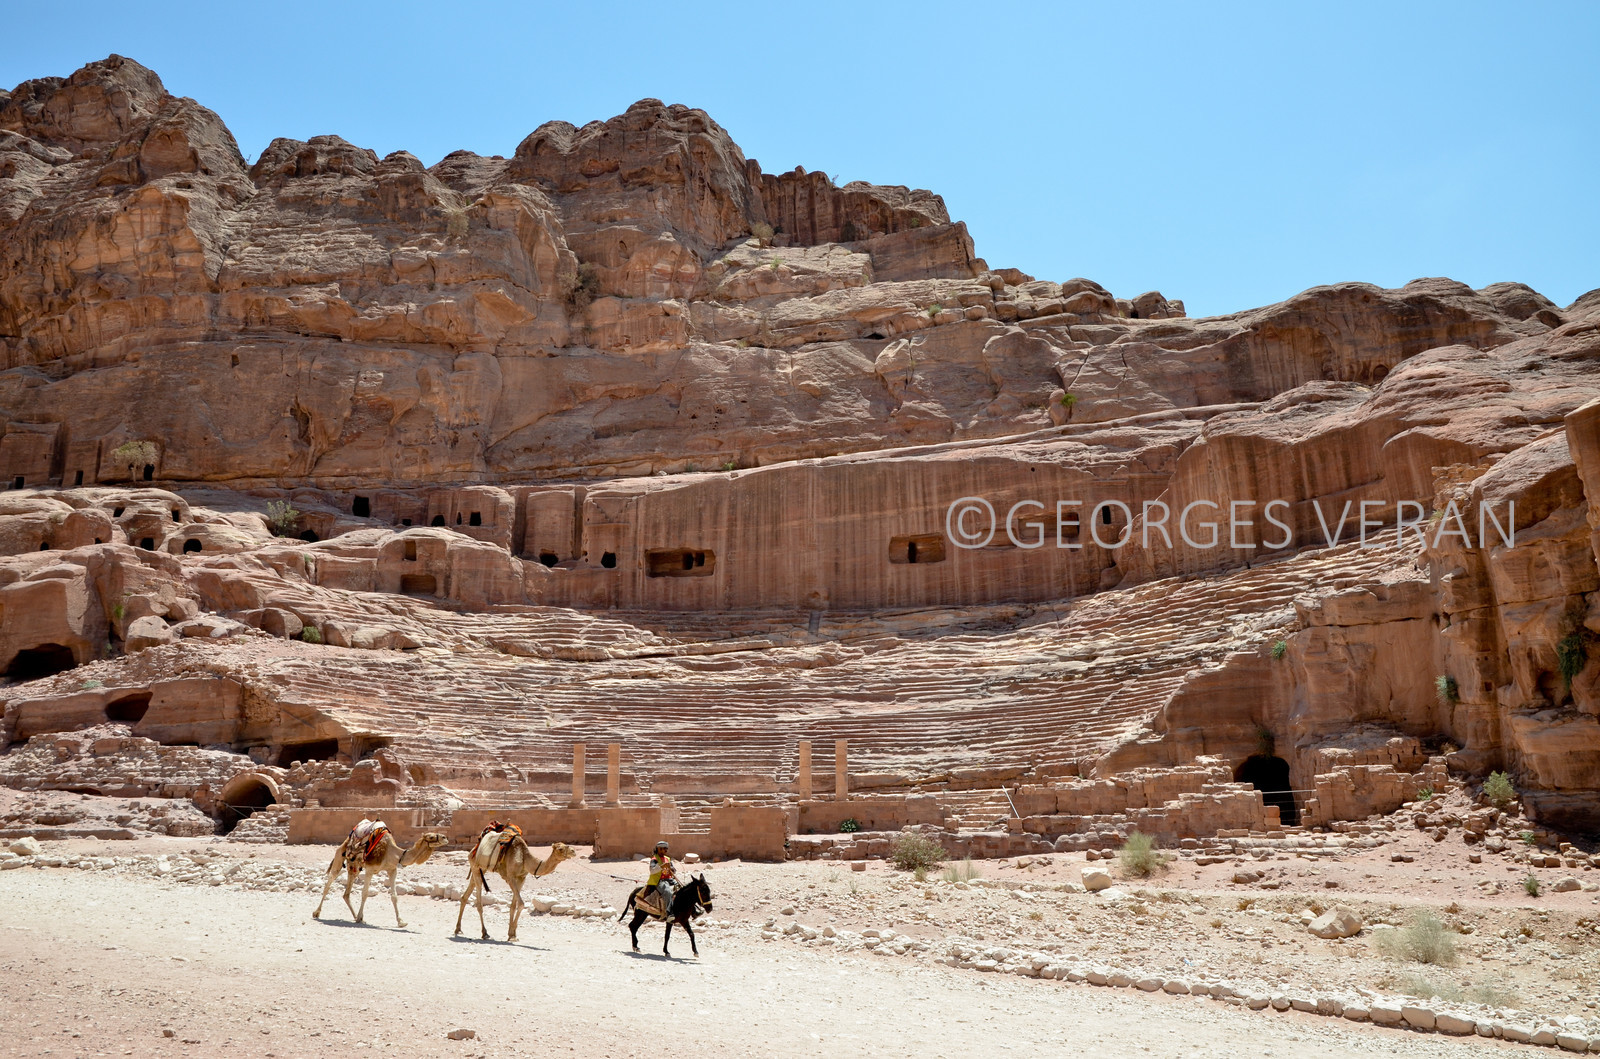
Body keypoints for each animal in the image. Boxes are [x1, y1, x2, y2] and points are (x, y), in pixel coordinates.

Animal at [312, 823, 447, 928]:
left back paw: (355, 916)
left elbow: (394, 896)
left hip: (354, 866)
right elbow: (365, 893)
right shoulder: (370, 869)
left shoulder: (392, 870)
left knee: (346, 893)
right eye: (431, 836)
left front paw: (401, 922)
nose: (445, 837)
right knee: (328, 884)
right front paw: (360, 917)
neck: (392, 853)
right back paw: (316, 913)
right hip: (339, 856)